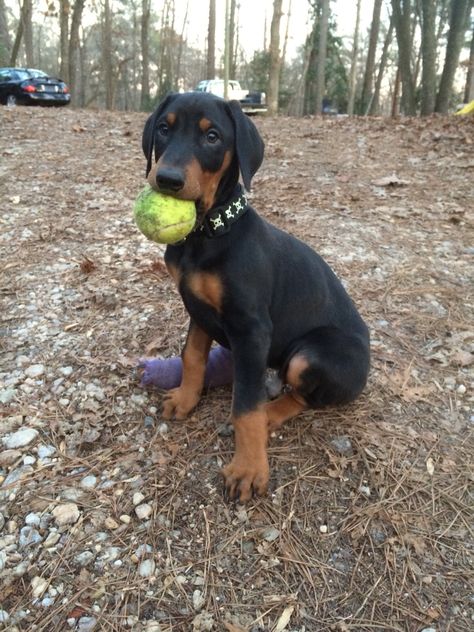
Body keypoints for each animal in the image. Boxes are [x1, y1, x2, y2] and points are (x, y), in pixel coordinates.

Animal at [141, 91, 370, 502]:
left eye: (212, 136)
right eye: (164, 128)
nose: (167, 179)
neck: (208, 235)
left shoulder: (251, 330)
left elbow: (246, 404)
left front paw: (248, 468)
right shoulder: (197, 309)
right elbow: (192, 357)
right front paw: (185, 399)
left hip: (310, 357)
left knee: (301, 397)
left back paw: (270, 415)